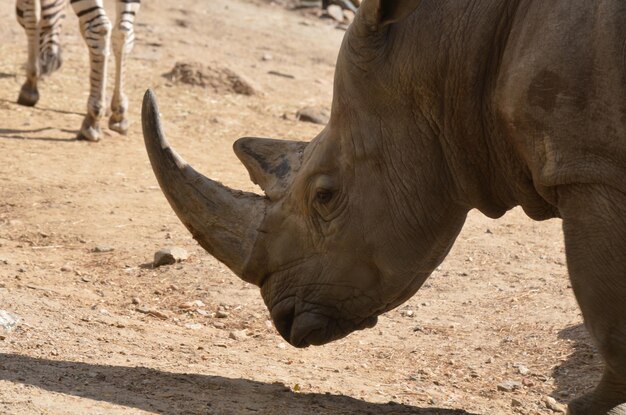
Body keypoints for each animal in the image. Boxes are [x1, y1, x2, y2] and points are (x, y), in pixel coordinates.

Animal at [15, 0, 140, 142]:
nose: (54, 63)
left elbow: (31, 18)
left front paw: (30, 84)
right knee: (123, 31)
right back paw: (119, 114)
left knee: (99, 29)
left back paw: (92, 120)